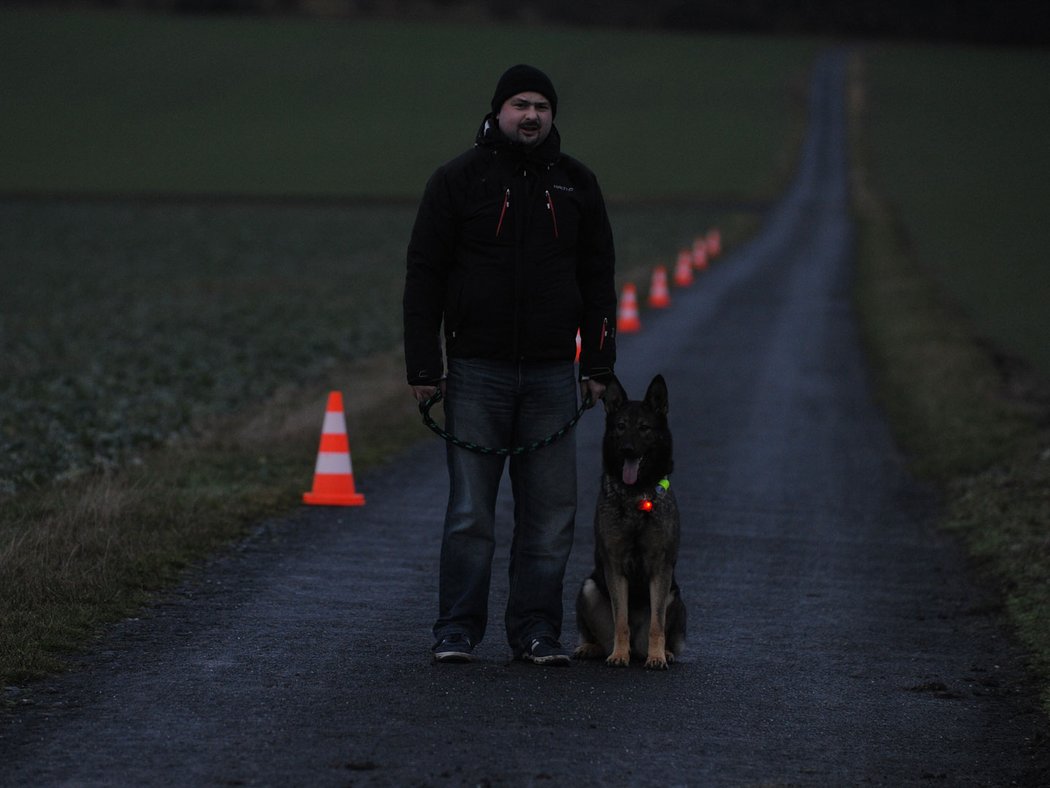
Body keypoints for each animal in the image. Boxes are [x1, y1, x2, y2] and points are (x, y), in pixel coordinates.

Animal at [575, 374, 688, 668]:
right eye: (621, 427)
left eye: (644, 428)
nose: (627, 449)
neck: (637, 493)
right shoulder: (615, 566)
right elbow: (621, 620)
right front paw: (618, 655)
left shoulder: (661, 569)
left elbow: (657, 625)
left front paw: (657, 657)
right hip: (588, 588)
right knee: (599, 636)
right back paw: (593, 647)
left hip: (675, 596)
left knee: (657, 632)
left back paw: (662, 652)